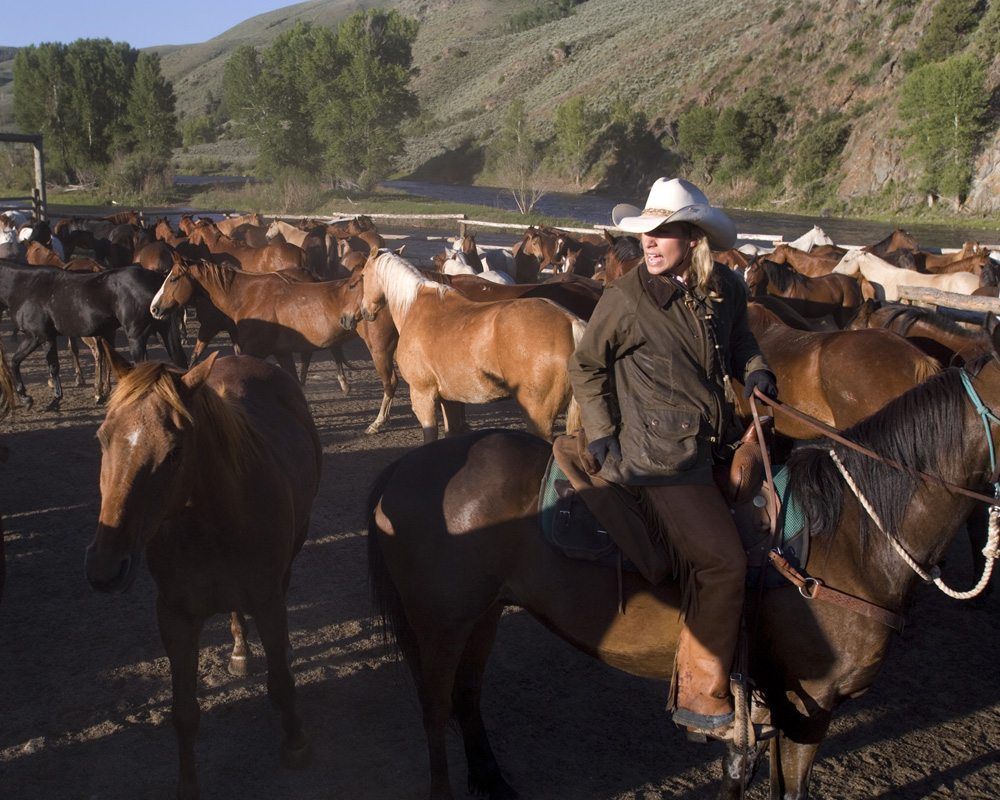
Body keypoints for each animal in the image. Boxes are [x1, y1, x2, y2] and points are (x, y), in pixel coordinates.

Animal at [86, 352, 322, 800]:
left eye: (175, 451)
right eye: (102, 438)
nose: (106, 568)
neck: (212, 523)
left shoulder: (268, 600)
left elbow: (281, 681)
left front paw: (296, 741)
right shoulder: (175, 617)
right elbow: (184, 712)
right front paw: (188, 785)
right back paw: (240, 650)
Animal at [356, 250, 584, 440]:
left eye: (363, 276)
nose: (364, 312)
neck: (414, 306)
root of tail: (570, 322)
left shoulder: (423, 395)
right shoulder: (450, 400)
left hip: (539, 418)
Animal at [368, 322, 1000, 796]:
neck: (851, 536)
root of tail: (405, 469)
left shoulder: (784, 705)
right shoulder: (811, 701)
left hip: (484, 616)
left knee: (466, 699)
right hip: (440, 626)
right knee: (434, 708)